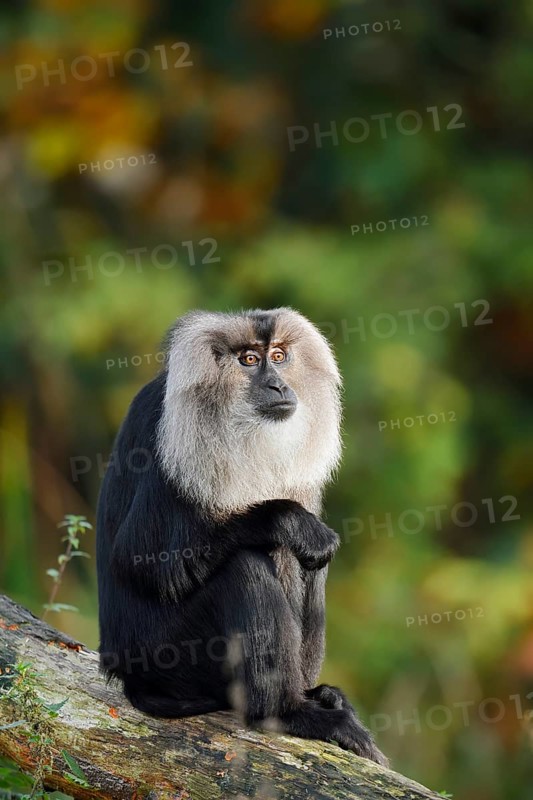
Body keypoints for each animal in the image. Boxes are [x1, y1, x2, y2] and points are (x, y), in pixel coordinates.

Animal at [96, 307, 387, 765]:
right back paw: (286, 712)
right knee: (243, 567)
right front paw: (287, 519)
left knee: (307, 565)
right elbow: (145, 563)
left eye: (279, 356)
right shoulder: (172, 441)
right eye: (250, 360)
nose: (278, 384)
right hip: (167, 655)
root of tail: (127, 673)